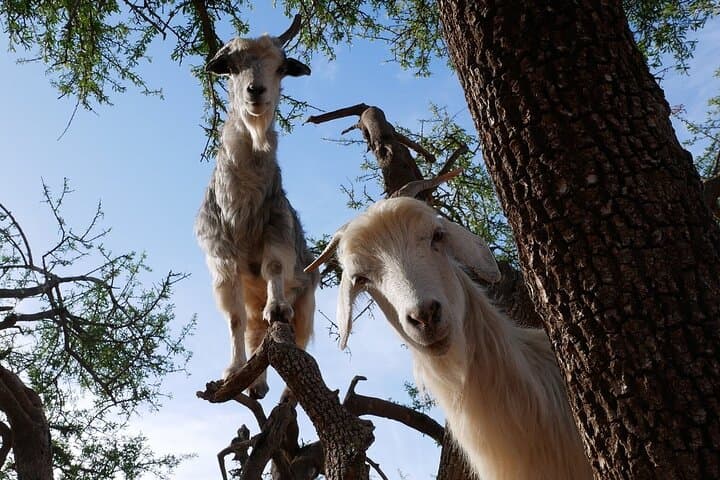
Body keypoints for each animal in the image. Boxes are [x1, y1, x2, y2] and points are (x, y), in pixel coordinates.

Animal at [195, 16, 318, 399]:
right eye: (232, 66)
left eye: (280, 67)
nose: (256, 91)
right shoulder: (221, 259)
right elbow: (234, 320)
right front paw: (233, 370)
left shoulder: (277, 229)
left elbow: (275, 267)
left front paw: (276, 305)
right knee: (253, 331)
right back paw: (256, 385)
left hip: (307, 300)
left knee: (298, 339)